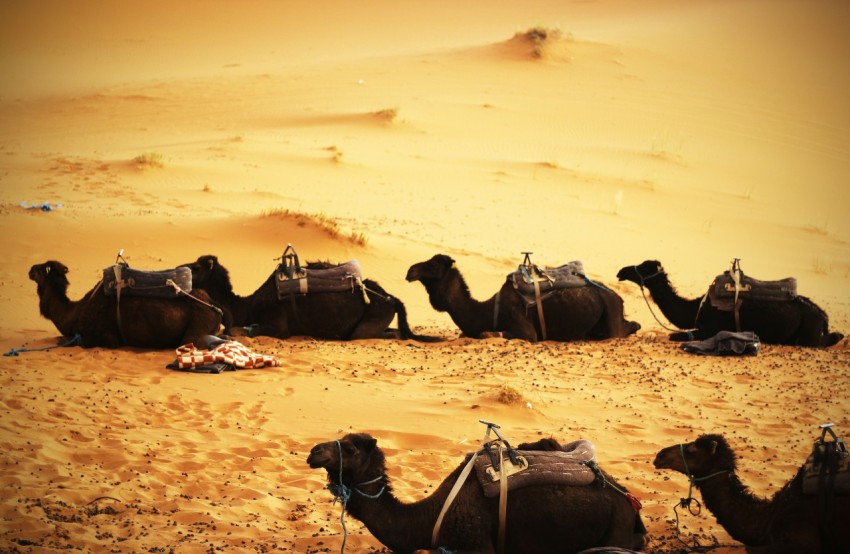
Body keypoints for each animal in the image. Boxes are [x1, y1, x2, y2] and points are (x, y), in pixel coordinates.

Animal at [29, 261, 222, 349]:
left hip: (195, 330)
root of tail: (214, 307)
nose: (30, 269)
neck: (75, 313)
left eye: (41, 269)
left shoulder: (105, 338)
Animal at [183, 255, 439, 341]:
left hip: (370, 321)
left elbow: (250, 330)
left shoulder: (278, 325)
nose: (180, 268)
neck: (248, 304)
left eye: (196, 268)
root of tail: (392, 298)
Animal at [405, 254, 639, 342]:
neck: (488, 311)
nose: (410, 271)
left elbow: (488, 333)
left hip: (611, 317)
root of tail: (619, 298)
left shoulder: (527, 331)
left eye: (433, 265)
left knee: (627, 328)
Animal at [617, 260, 843, 347]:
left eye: (644, 267)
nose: (622, 271)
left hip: (809, 335)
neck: (696, 307)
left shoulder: (711, 329)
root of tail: (823, 316)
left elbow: (676, 336)